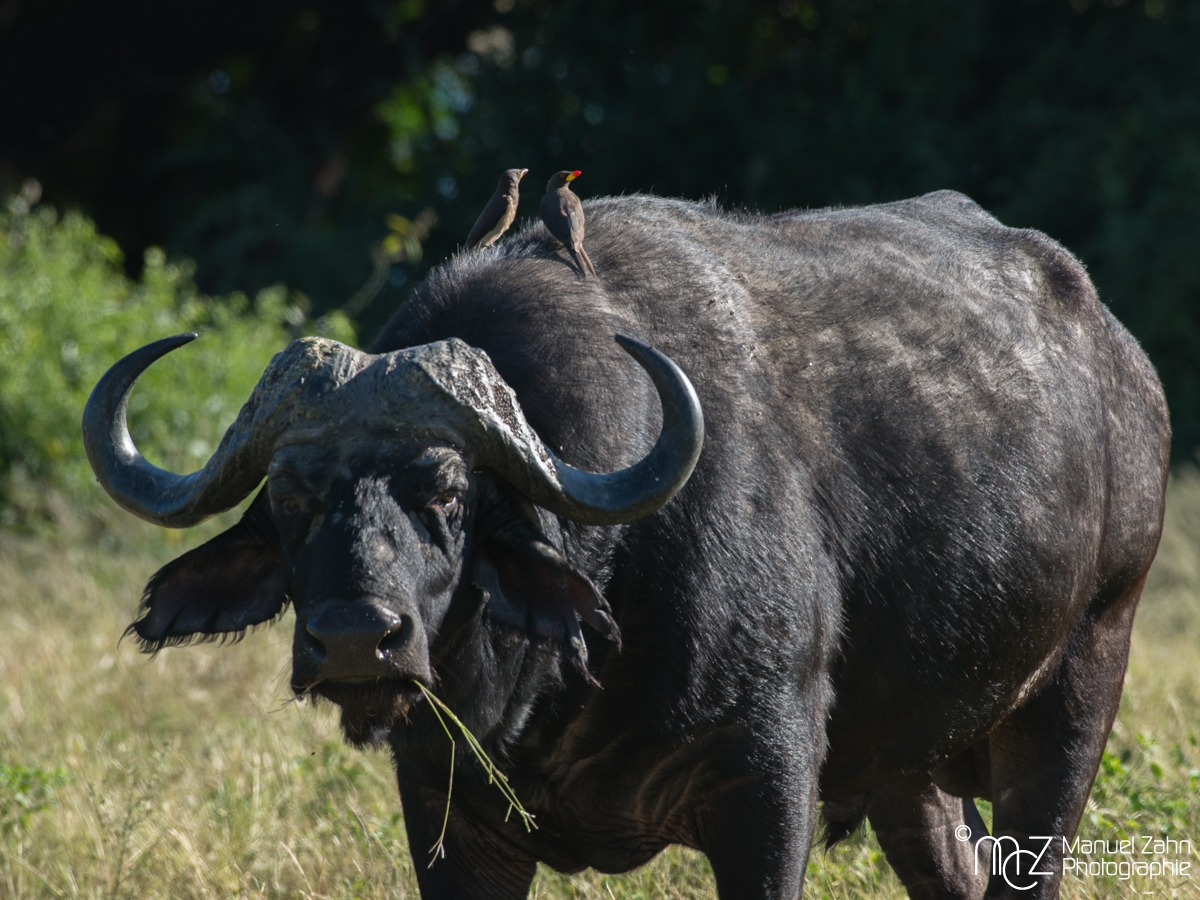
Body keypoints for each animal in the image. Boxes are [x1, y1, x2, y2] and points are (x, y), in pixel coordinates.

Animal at [83, 191, 1169, 899]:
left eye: (449, 493)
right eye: (291, 498)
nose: (357, 639)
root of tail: (1124, 363)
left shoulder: (768, 787)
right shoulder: (446, 815)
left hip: (1079, 689)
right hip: (914, 773)